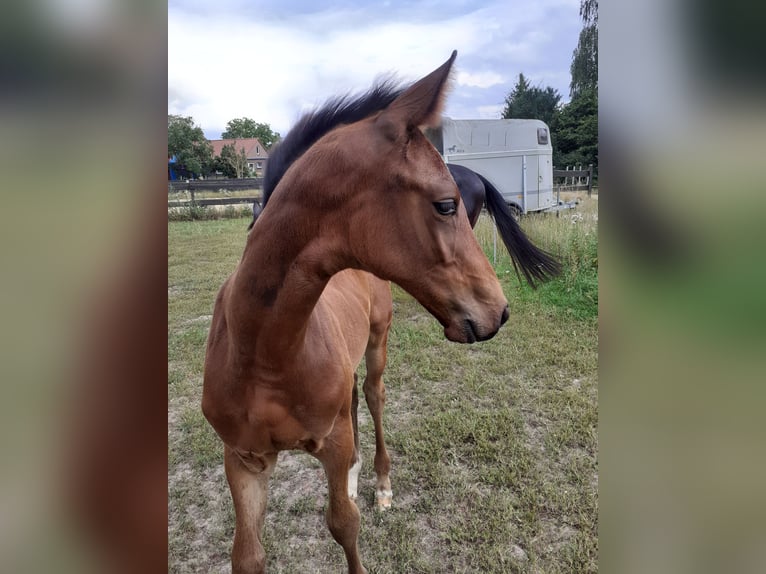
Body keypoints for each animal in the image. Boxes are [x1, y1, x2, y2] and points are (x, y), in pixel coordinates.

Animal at [204, 51, 510, 572]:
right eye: (445, 204)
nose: (499, 310)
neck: (264, 351)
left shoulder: (331, 441)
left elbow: (344, 524)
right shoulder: (243, 459)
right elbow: (247, 555)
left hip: (377, 342)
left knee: (371, 395)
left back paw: (382, 482)